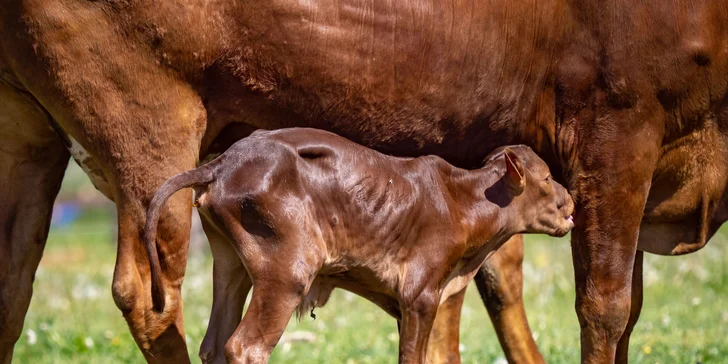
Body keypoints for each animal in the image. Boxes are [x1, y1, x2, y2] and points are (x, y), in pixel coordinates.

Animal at [142, 126, 576, 362]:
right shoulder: (420, 296)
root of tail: (223, 162)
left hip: (231, 264)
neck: (462, 199)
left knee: (214, 345)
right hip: (285, 272)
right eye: (547, 177)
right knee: (245, 347)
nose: (571, 201)